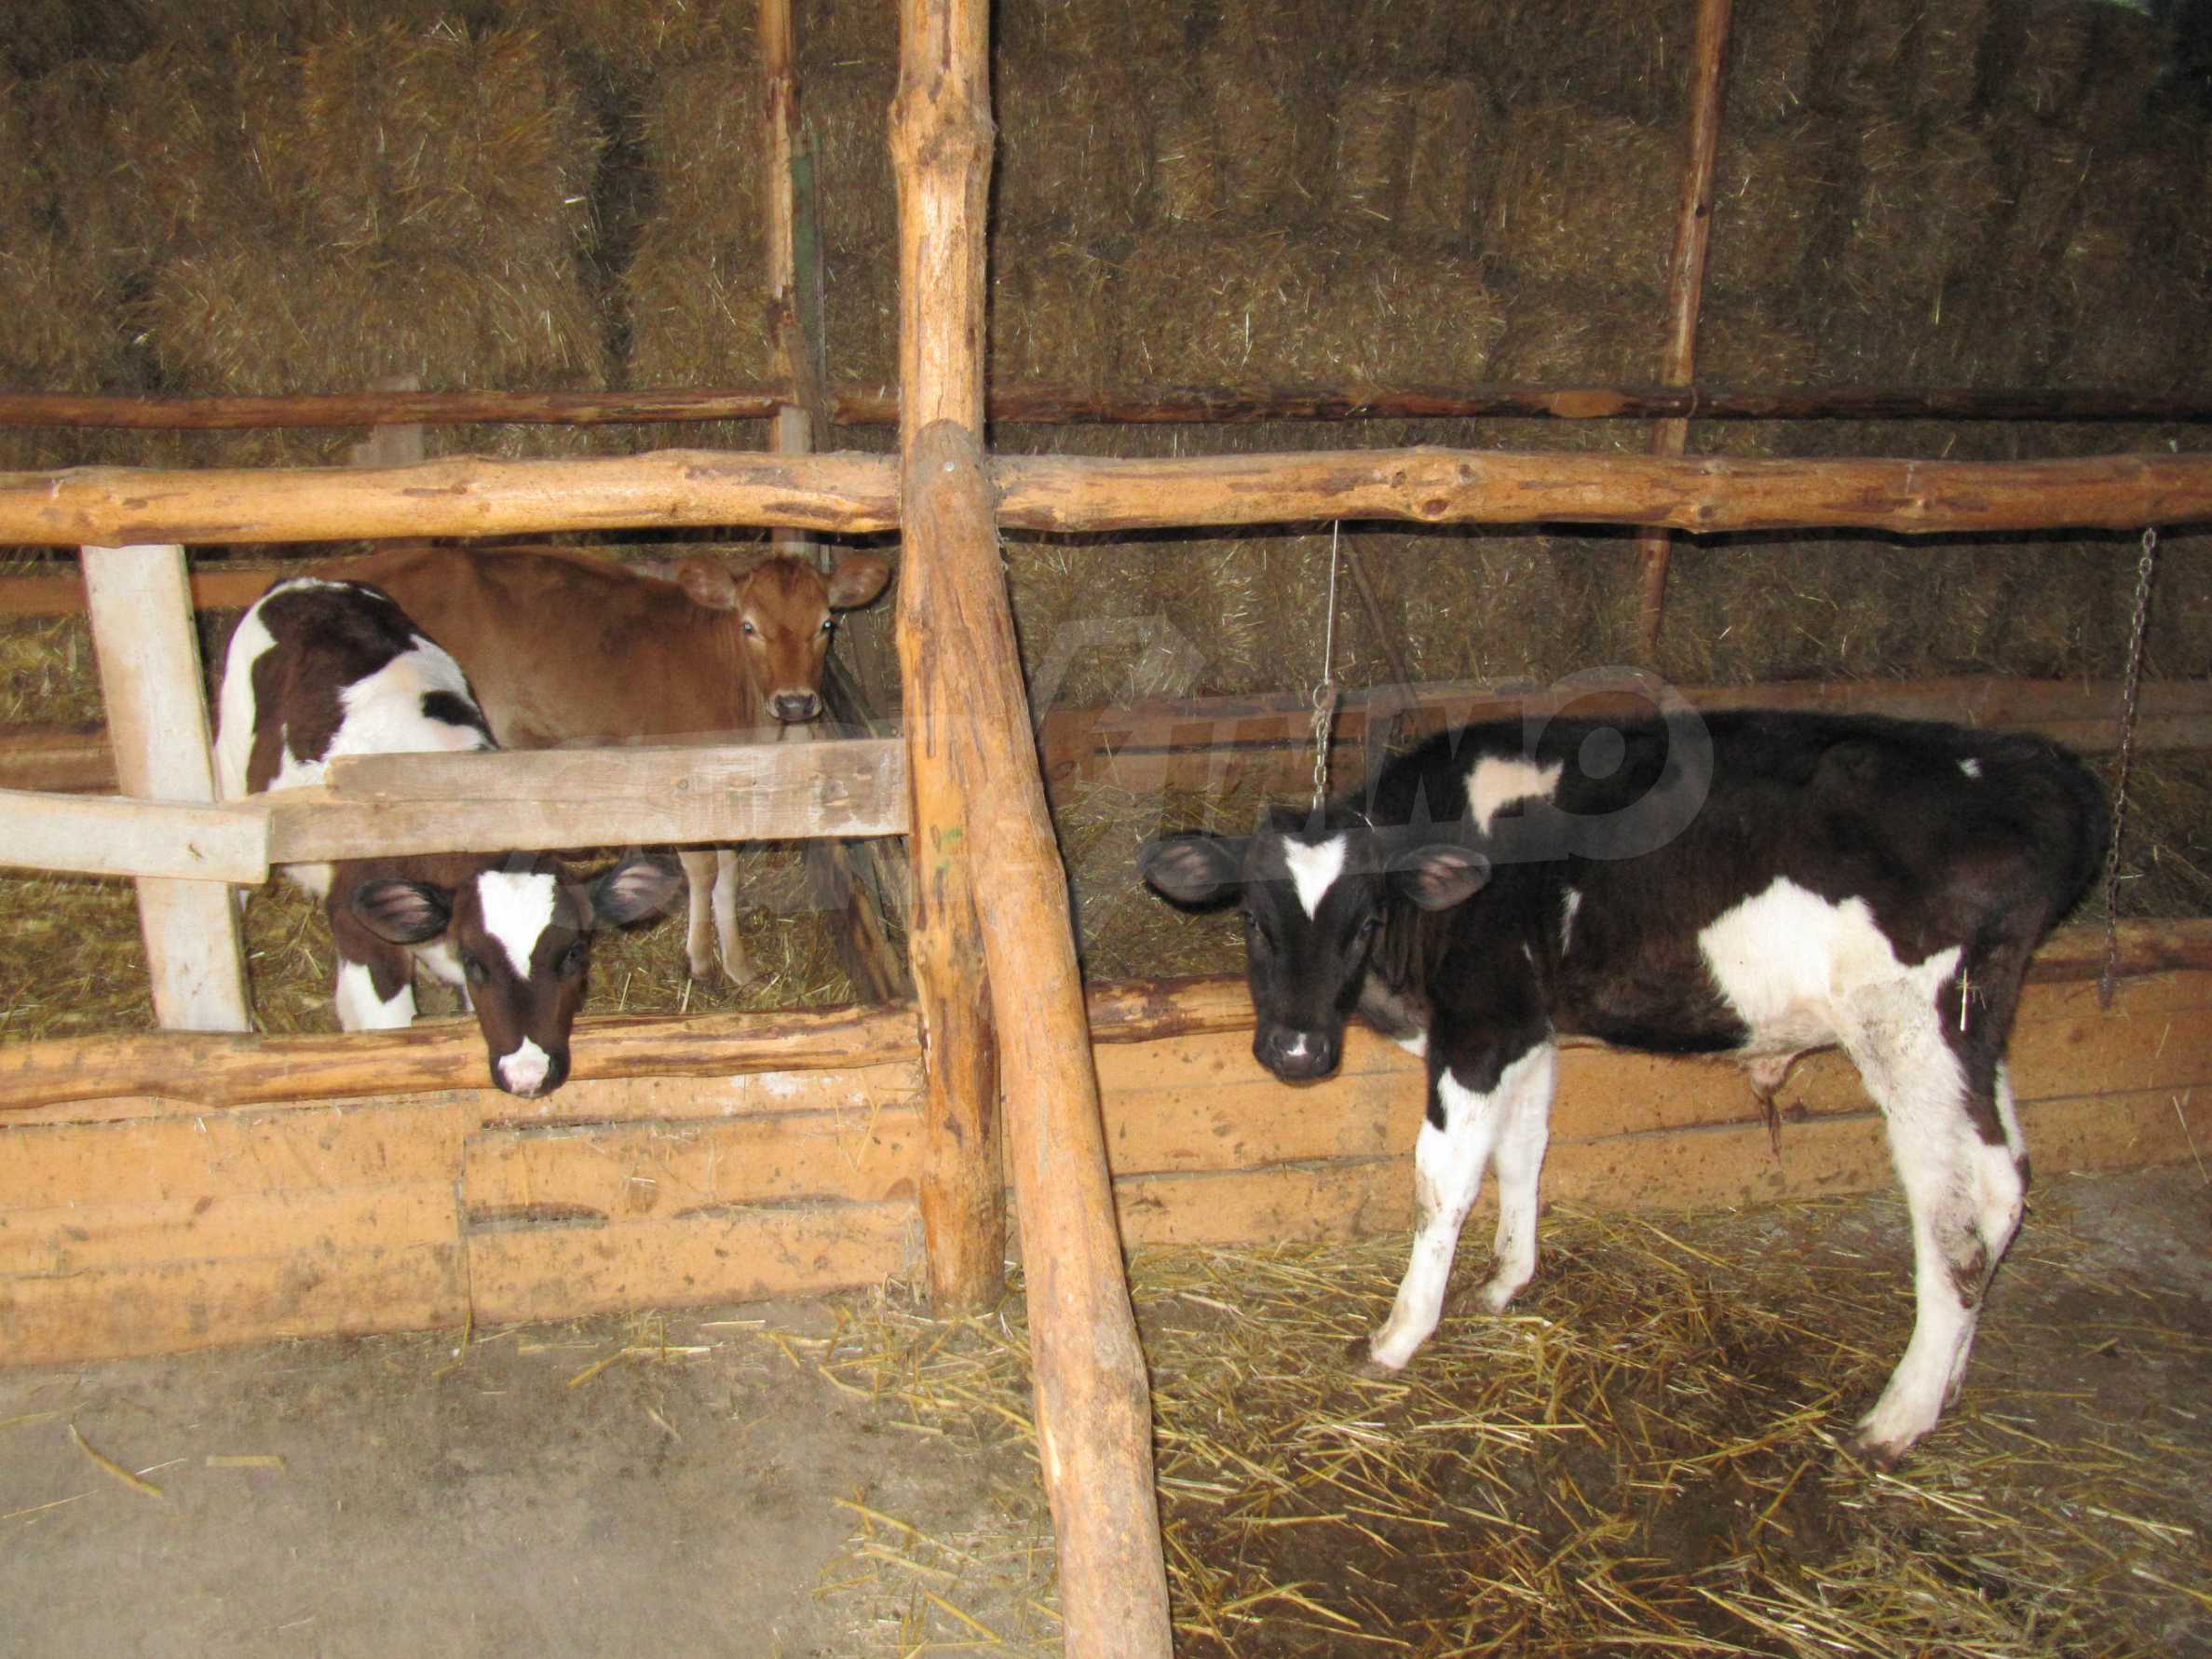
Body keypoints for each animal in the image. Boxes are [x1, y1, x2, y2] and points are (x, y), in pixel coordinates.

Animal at [214, 576, 682, 1098]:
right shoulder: (360, 934)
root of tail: (305, 582)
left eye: (575, 953)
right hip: (230, 767)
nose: (527, 1076)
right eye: (475, 960)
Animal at [324, 542, 894, 985]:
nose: (795, 702)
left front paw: (737, 963)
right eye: (749, 625)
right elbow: (704, 869)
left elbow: (729, 871)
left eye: (826, 623)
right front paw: (700, 962)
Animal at [1141, 707, 2107, 1464]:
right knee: (2003, 1184)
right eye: (1252, 920)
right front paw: (1505, 1281)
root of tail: (2035, 766)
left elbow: (1441, 1182)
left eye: (1366, 920)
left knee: (1952, 1219)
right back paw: (1945, 1385)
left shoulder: (1480, 1025)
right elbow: (1522, 1152)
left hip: (1906, 1024)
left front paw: (1399, 1333)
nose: (1298, 1051)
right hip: (1974, 1027)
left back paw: (1897, 1415)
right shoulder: (1528, 1026)